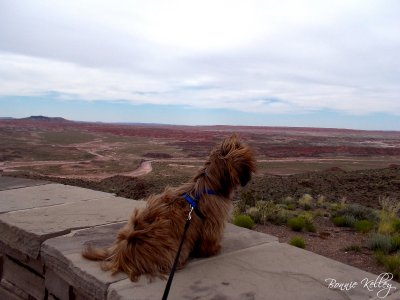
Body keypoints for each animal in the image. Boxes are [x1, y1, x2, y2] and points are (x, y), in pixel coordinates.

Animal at [82, 135, 255, 282]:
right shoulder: (212, 222)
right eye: (247, 162)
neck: (209, 183)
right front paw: (213, 250)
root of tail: (122, 252)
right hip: (177, 250)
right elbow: (209, 240)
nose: (249, 178)